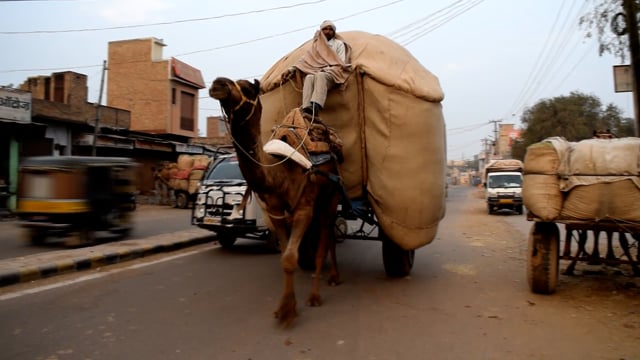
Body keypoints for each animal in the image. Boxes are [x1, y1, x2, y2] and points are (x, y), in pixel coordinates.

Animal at [210, 76, 344, 326]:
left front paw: (288, 310)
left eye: (247, 88)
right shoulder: (276, 212)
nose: (218, 83)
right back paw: (334, 277)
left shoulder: (303, 209)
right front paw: (286, 306)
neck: (279, 172)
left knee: (325, 238)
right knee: (330, 235)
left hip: (332, 196)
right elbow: (285, 258)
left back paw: (317, 292)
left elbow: (291, 258)